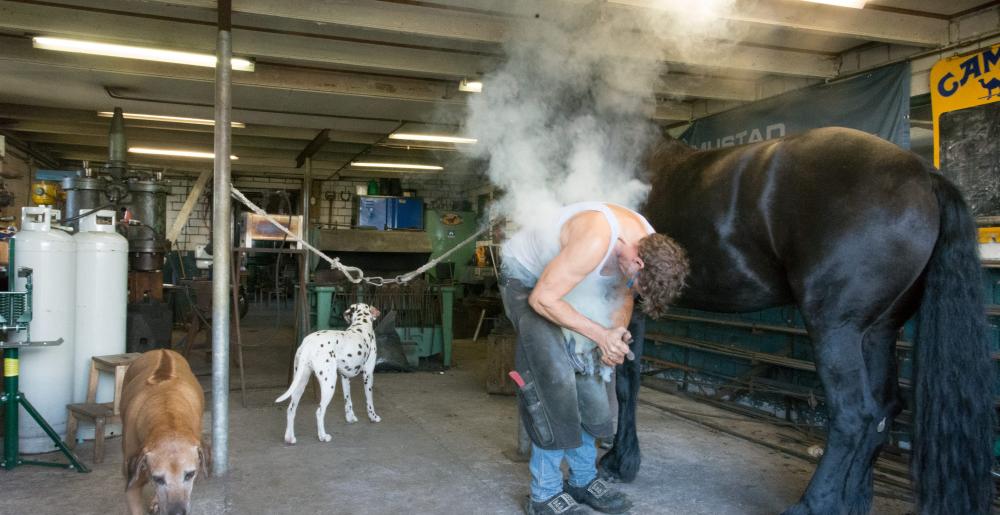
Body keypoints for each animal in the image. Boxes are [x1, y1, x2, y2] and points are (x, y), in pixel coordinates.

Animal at [276, 304, 380, 446]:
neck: (361, 325)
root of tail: (308, 343)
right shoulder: (368, 375)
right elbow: (370, 401)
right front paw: (373, 417)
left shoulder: (345, 377)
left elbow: (348, 401)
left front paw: (350, 418)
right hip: (328, 385)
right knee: (319, 412)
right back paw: (323, 436)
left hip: (300, 384)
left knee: (291, 410)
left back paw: (289, 438)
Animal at [596, 126, 996, 515]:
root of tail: (924, 173)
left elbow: (626, 382)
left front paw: (620, 461)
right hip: (877, 333)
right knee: (884, 411)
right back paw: (852, 500)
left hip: (835, 330)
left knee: (854, 416)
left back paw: (814, 504)